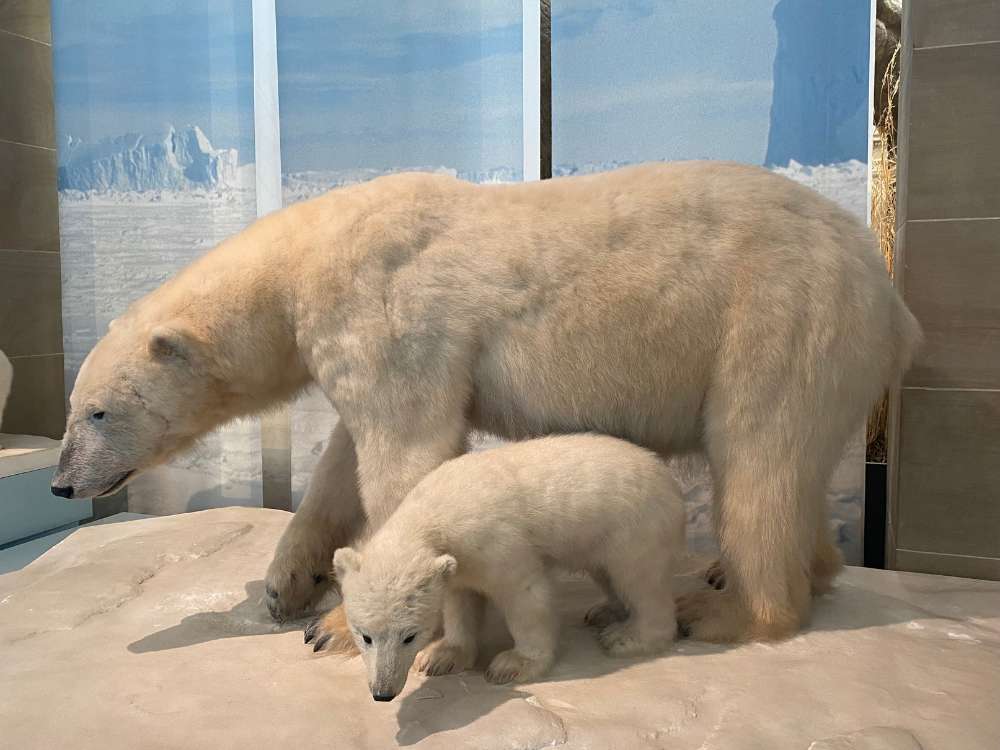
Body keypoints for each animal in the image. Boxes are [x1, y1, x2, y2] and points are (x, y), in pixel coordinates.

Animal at [50, 164, 916, 648]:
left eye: (96, 412)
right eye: (74, 405)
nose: (61, 483)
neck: (302, 259)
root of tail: (890, 295)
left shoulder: (384, 312)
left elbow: (405, 457)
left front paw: (344, 626)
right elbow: (341, 463)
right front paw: (286, 586)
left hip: (780, 316)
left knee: (759, 455)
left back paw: (729, 610)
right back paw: (792, 571)